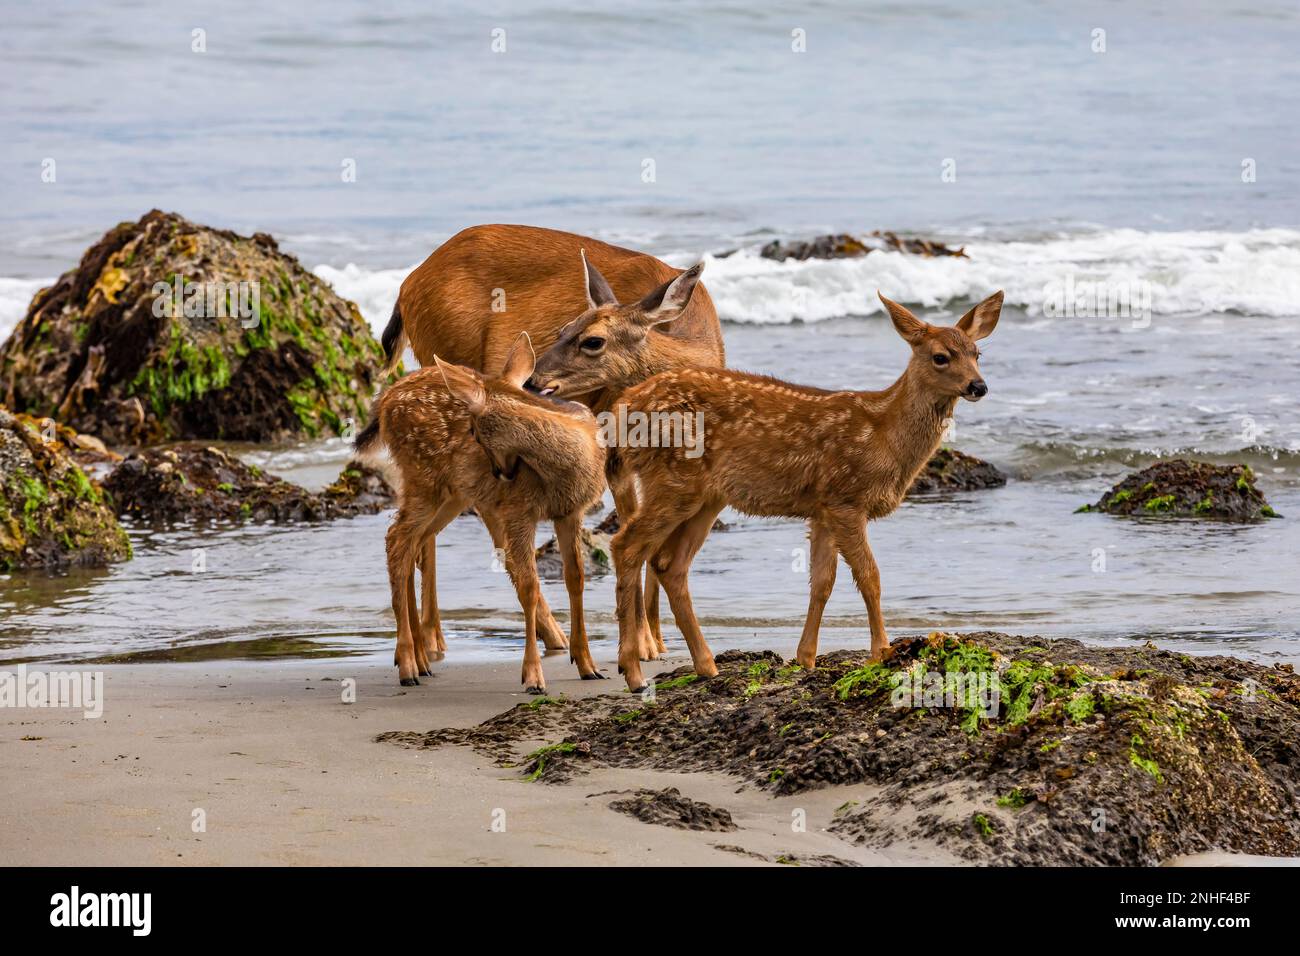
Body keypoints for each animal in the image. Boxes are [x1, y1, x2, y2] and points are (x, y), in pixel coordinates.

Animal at [353, 332, 600, 691]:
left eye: (475, 431)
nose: (501, 474)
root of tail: (384, 401)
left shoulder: (570, 511)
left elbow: (576, 579)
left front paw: (587, 665)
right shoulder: (518, 510)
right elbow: (529, 586)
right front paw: (533, 676)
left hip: (453, 494)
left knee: (412, 542)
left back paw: (421, 660)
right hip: (422, 478)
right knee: (396, 539)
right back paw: (409, 665)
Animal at [379, 225, 728, 660]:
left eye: (592, 340)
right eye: (562, 329)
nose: (532, 380)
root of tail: (407, 285)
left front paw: (657, 639)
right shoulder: (612, 445)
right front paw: (644, 642)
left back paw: (433, 641)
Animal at [608, 287, 1003, 691]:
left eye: (977, 353)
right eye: (941, 356)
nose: (978, 386)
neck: (883, 434)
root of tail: (623, 407)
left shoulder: (822, 507)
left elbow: (822, 582)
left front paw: (806, 658)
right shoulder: (846, 497)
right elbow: (870, 576)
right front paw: (882, 651)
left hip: (705, 496)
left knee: (669, 564)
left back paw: (706, 665)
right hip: (671, 478)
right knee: (626, 546)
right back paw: (634, 671)